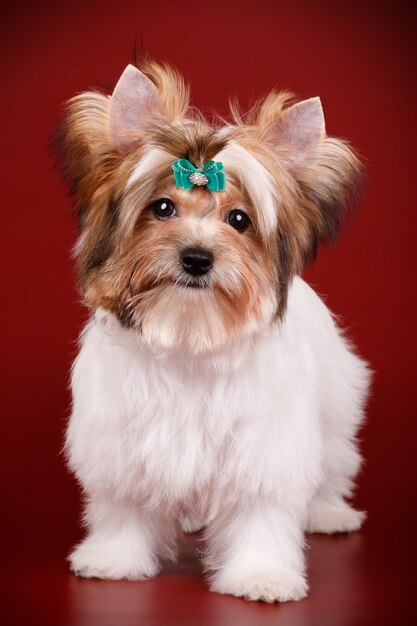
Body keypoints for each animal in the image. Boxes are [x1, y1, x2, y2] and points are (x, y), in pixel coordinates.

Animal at [54, 62, 368, 600]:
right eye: (162, 208)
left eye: (239, 220)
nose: (197, 258)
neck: (189, 336)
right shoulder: (120, 438)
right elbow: (123, 503)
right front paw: (115, 558)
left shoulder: (265, 446)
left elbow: (262, 507)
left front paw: (262, 574)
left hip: (334, 405)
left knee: (332, 459)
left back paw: (330, 513)